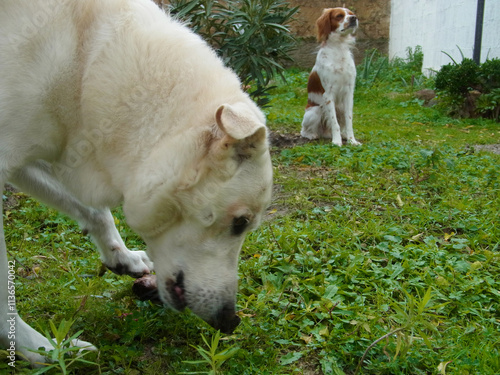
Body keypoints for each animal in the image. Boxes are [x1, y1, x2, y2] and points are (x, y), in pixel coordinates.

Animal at [0, 0, 274, 366]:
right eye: (240, 223)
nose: (231, 321)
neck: (84, 68)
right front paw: (42, 350)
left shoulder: (34, 158)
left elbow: (96, 212)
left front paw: (123, 257)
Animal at [298, 8, 362, 147]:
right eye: (339, 16)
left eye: (351, 13)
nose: (354, 18)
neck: (339, 49)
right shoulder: (328, 94)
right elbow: (334, 122)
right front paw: (337, 141)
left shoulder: (349, 93)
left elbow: (349, 120)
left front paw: (352, 140)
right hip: (314, 111)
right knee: (304, 130)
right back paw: (313, 135)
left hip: (340, 108)